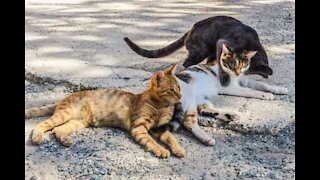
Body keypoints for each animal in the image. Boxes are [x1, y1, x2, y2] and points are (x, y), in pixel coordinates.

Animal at [25, 64, 185, 158]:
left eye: (179, 87)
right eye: (172, 90)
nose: (180, 96)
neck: (161, 107)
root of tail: (63, 99)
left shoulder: (159, 128)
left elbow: (171, 138)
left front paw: (178, 149)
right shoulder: (139, 127)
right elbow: (151, 141)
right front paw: (160, 150)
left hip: (79, 122)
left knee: (58, 129)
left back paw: (65, 140)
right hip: (65, 114)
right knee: (44, 124)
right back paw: (37, 137)